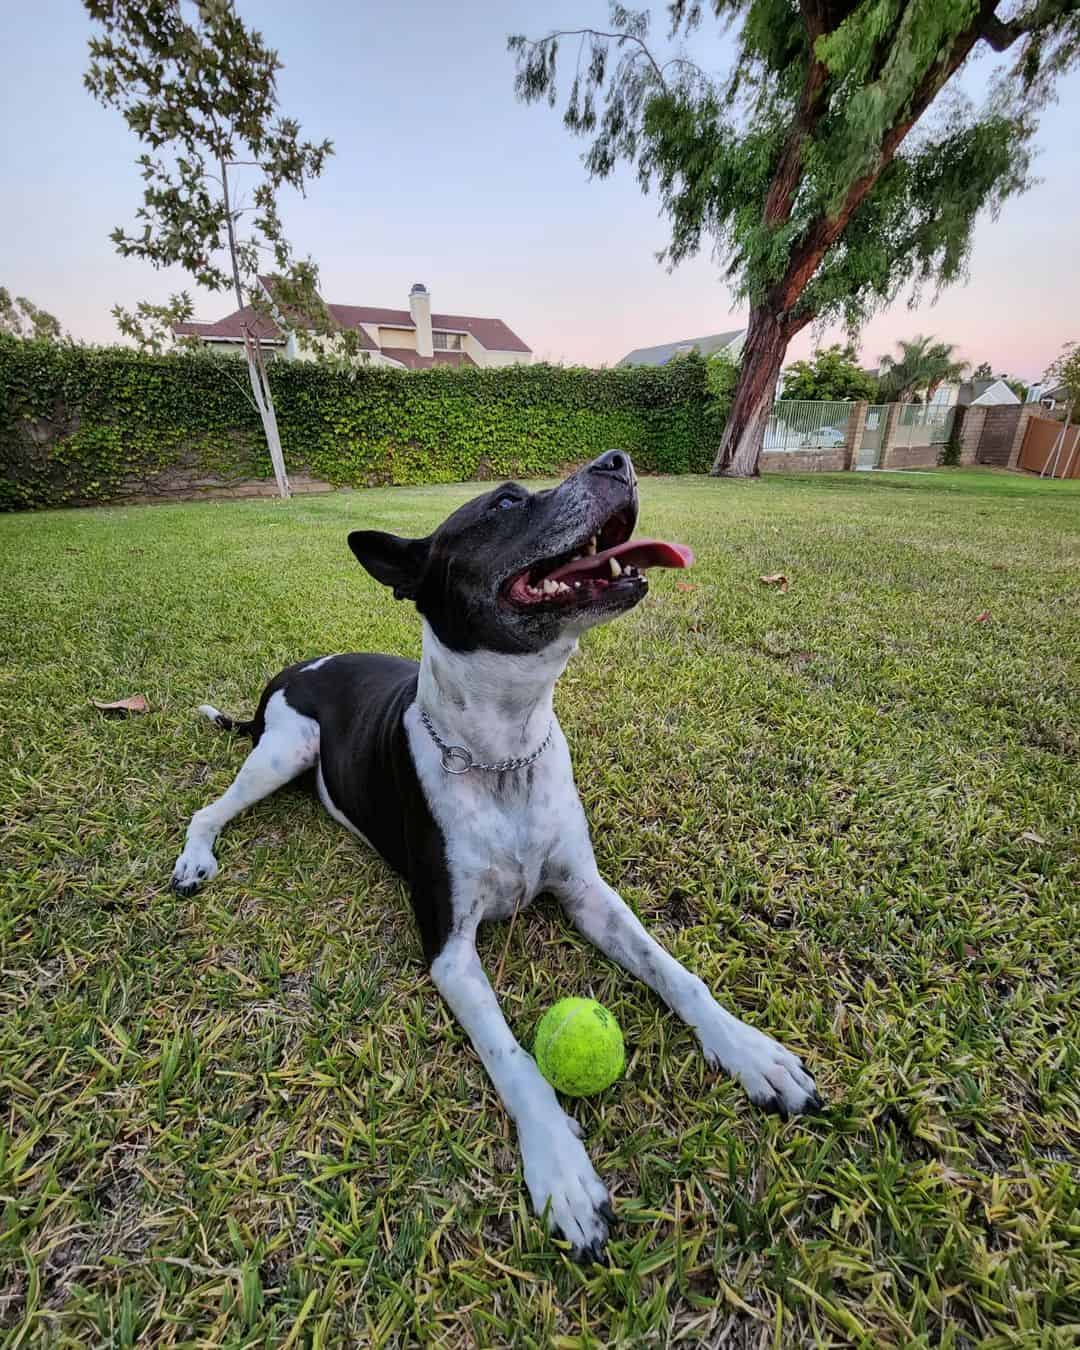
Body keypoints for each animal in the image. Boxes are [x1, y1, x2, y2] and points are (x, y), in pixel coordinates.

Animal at [172, 453, 820, 1263]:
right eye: (506, 502)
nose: (618, 461)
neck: (504, 751)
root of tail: (293, 670)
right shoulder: (450, 951)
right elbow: (515, 1059)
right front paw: (561, 1168)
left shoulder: (587, 893)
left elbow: (677, 973)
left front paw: (749, 1050)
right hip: (285, 749)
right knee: (208, 809)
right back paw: (194, 860)